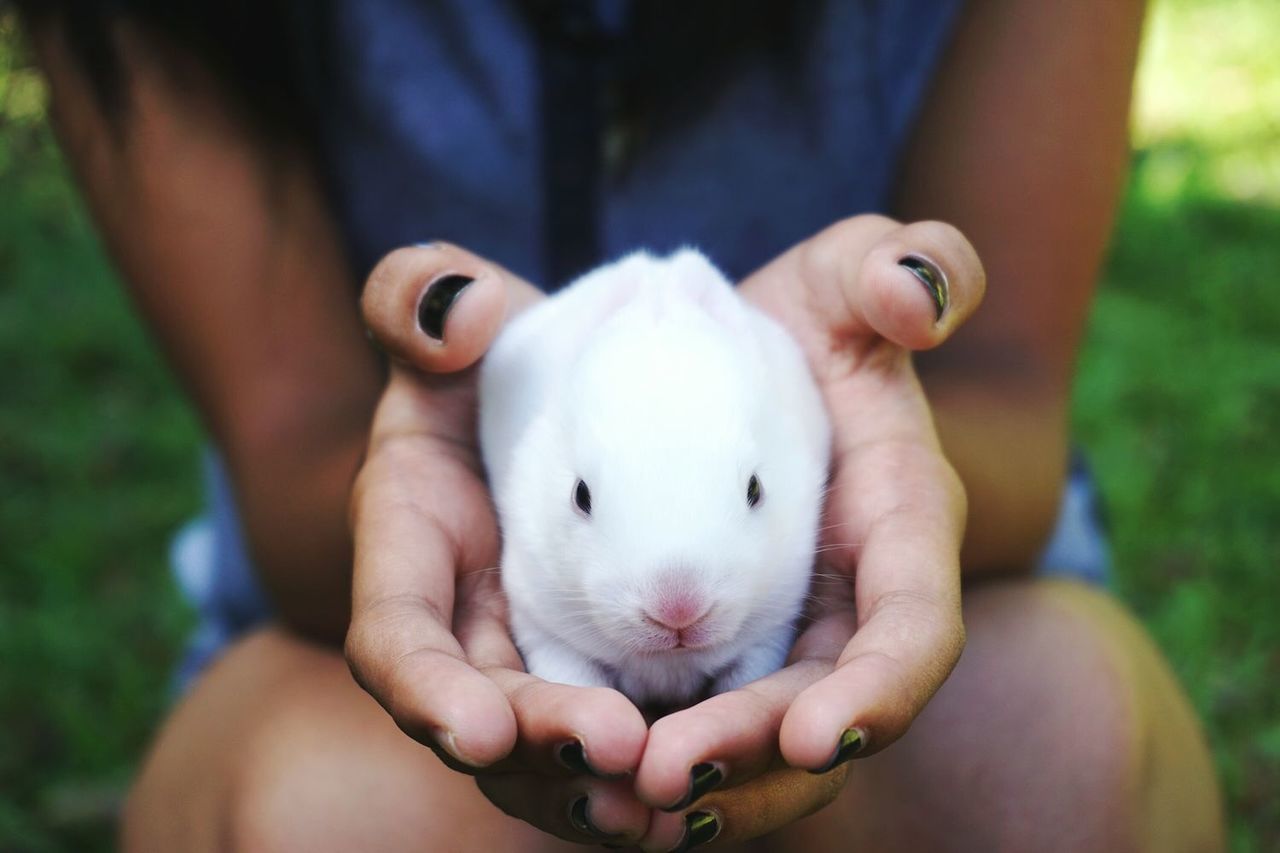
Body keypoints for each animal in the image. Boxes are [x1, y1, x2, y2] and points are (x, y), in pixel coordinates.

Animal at [481, 247, 829, 701]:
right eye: (580, 495)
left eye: (755, 489)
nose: (678, 608)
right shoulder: (545, 627)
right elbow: (572, 674)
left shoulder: (769, 634)